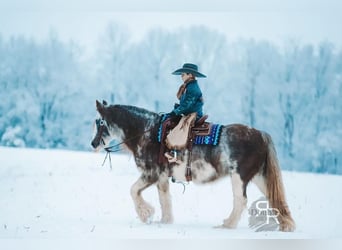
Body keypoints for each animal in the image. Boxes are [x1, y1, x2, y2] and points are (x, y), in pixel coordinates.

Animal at [90, 100, 294, 232]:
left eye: (100, 122)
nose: (93, 143)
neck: (147, 132)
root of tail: (260, 134)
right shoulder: (161, 178)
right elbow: (164, 199)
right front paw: (165, 221)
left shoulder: (151, 174)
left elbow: (133, 190)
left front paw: (145, 213)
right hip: (259, 177)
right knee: (274, 198)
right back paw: (285, 225)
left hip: (239, 177)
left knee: (240, 200)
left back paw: (227, 225)